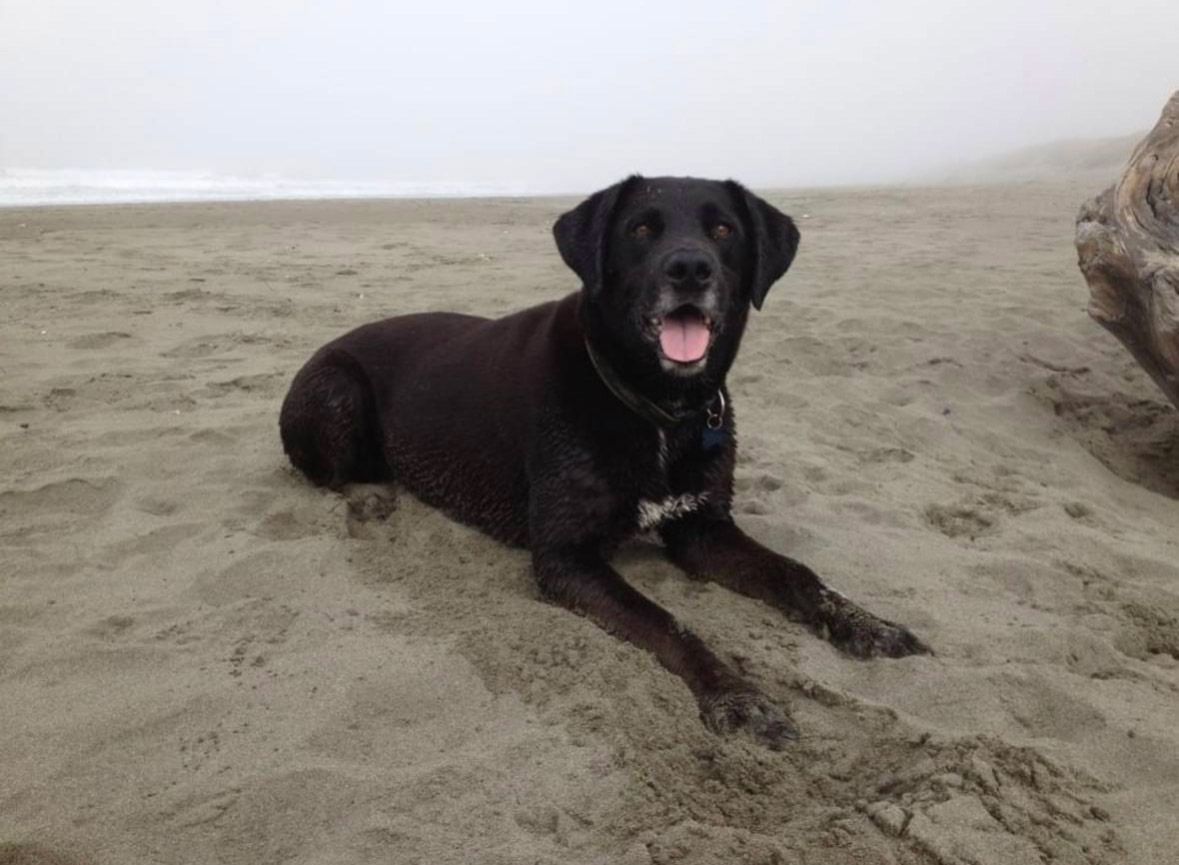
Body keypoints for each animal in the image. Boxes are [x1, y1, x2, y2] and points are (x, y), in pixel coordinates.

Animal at [278, 177, 929, 754]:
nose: (689, 269)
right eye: (641, 229)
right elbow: (667, 620)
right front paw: (738, 697)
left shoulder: (704, 529)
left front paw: (867, 624)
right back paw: (370, 498)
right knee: (327, 474)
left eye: (723, 230)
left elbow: (797, 574)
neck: (658, 408)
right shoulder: (567, 556)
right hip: (337, 393)